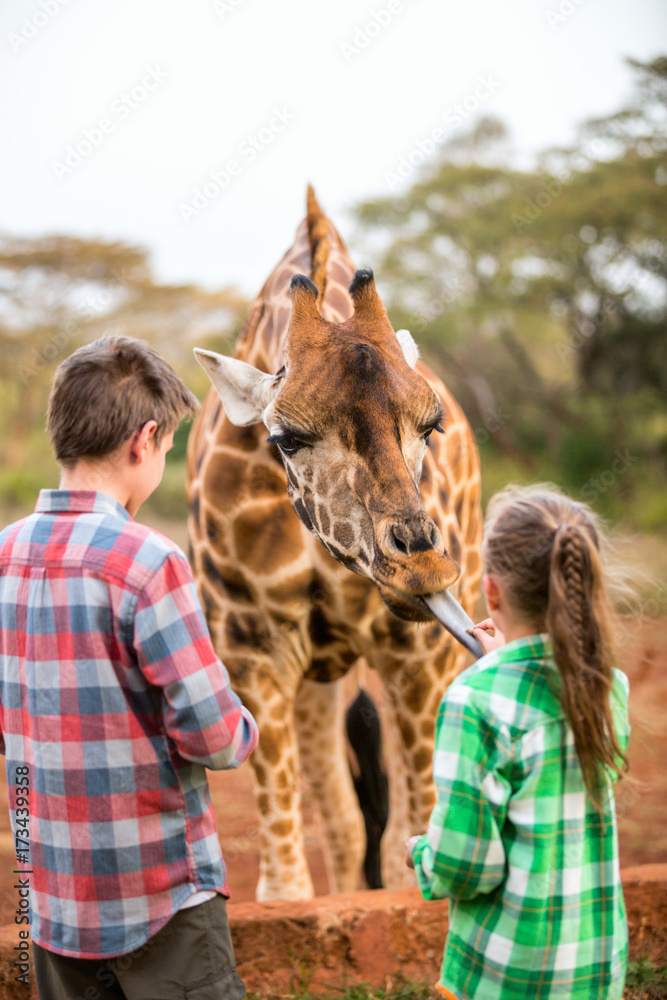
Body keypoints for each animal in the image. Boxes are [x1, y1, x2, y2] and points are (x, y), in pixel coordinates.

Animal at [185, 188, 482, 900]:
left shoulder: (416, 656)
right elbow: (287, 887)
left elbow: (410, 854)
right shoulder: (254, 656)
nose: (423, 569)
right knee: (347, 822)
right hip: (317, 673)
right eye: (287, 438)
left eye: (429, 427)